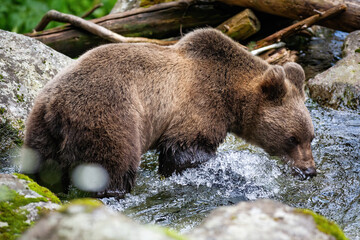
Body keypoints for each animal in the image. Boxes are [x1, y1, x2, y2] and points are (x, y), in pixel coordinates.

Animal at [23, 28, 316, 197]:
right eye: (292, 138)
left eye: (311, 137)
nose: (310, 170)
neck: (231, 94)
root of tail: (55, 109)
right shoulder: (198, 105)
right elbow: (183, 151)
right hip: (109, 119)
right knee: (112, 166)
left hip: (42, 130)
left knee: (44, 167)